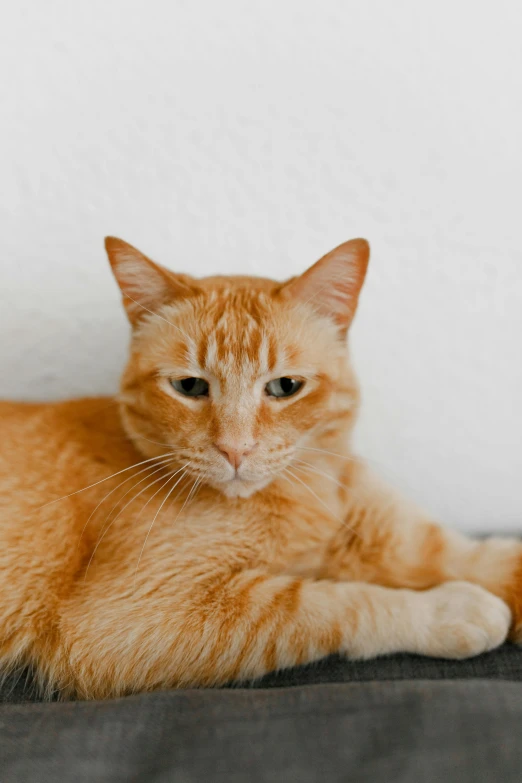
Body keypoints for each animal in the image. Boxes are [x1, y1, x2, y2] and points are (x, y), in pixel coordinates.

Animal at [1, 237, 520, 700]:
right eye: (189, 386)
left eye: (286, 386)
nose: (235, 449)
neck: (309, 497)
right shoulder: (124, 624)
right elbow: (327, 602)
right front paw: (449, 609)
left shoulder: (398, 539)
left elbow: (481, 557)